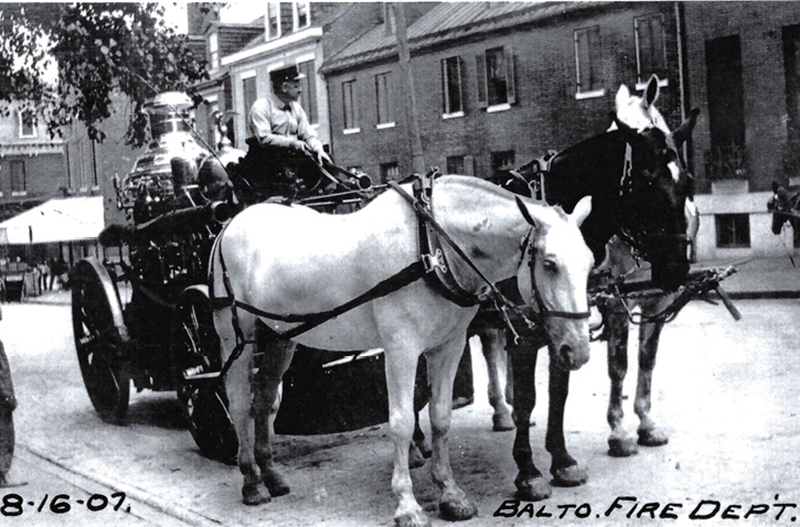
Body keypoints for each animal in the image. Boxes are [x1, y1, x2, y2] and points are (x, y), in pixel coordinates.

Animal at [208, 177, 592, 527]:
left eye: (589, 262)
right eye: (550, 264)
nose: (578, 352)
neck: (431, 245)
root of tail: (230, 225)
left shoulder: (448, 345)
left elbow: (440, 417)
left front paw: (450, 493)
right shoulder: (401, 349)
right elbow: (402, 422)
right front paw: (408, 505)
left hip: (280, 337)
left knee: (263, 399)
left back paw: (270, 473)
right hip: (235, 337)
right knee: (239, 403)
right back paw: (251, 480)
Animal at [504, 76, 704, 502]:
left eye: (689, 181)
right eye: (647, 181)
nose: (677, 267)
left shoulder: (649, 299)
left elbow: (642, 361)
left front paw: (645, 424)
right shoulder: (610, 302)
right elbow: (617, 365)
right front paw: (618, 433)